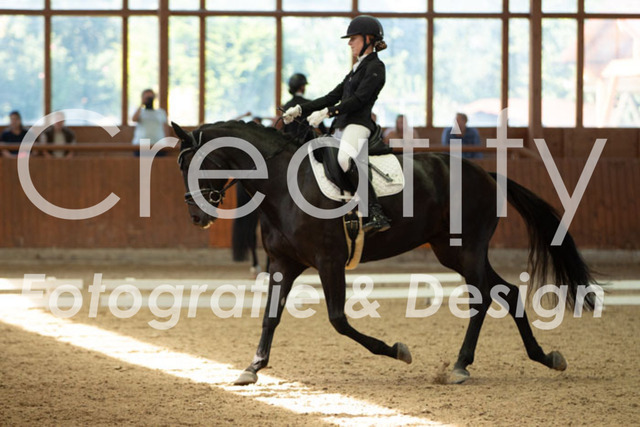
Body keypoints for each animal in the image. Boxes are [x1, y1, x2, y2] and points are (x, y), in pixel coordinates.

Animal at [171, 120, 596, 385]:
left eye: (200, 163)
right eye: (180, 167)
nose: (196, 216)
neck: (283, 183)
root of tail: (486, 174)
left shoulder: (328, 261)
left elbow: (339, 320)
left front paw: (396, 350)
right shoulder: (284, 263)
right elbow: (270, 317)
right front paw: (253, 367)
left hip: (467, 249)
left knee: (482, 298)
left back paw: (460, 366)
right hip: (451, 252)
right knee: (506, 292)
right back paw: (544, 357)